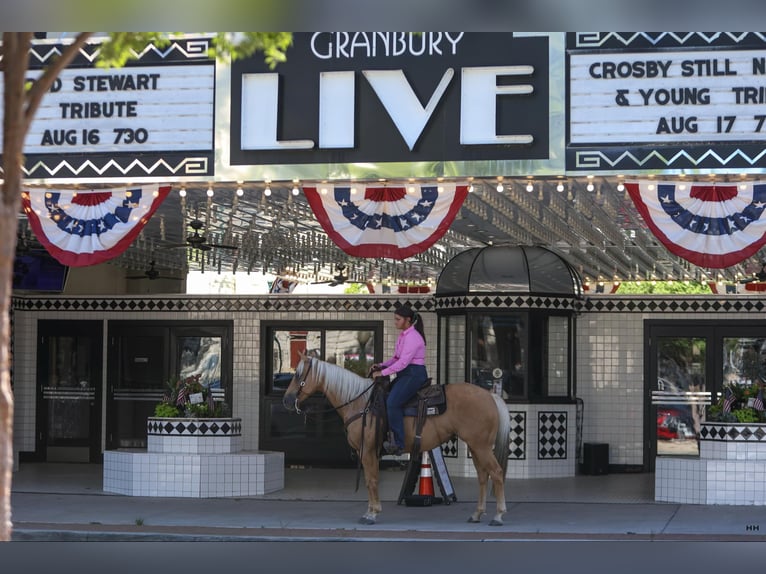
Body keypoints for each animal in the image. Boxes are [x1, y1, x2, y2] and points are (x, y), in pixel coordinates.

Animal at [280, 352, 510, 528]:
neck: (360, 403)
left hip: (481, 446)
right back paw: (477, 514)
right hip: (476, 446)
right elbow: (370, 480)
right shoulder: (369, 452)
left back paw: (498, 516)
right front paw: (371, 511)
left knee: (496, 473)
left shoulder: (367, 451)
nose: (287, 400)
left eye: (298, 375)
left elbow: (371, 480)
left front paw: (372, 514)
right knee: (483, 476)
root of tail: (490, 396)